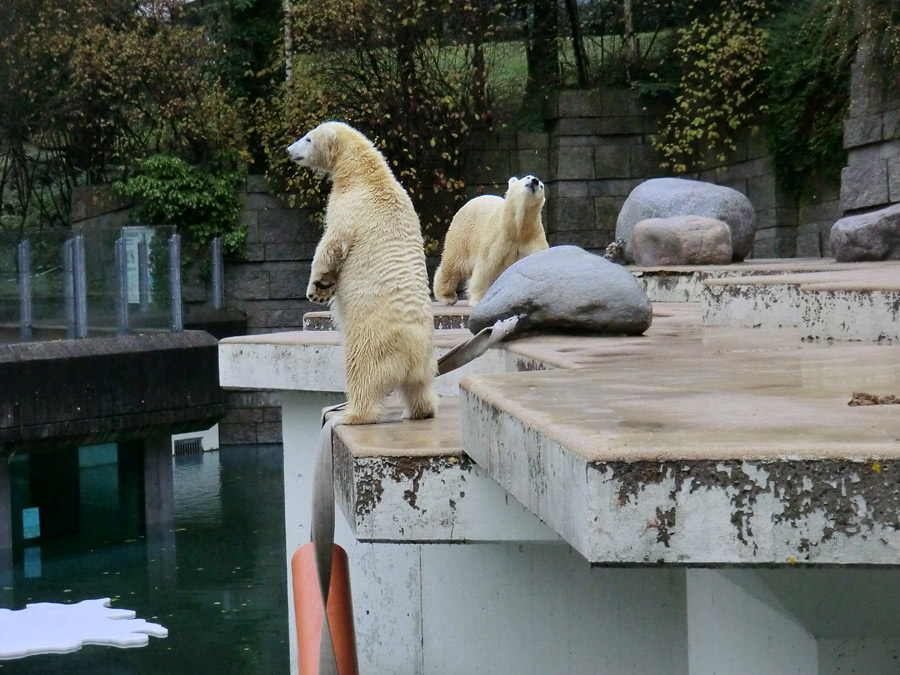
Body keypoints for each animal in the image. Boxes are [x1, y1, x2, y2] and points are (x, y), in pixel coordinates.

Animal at [288, 121, 436, 426]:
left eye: (307, 138)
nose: (288, 150)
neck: (364, 174)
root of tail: (411, 351)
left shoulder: (351, 207)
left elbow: (331, 244)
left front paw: (316, 286)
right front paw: (325, 289)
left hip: (371, 341)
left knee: (362, 373)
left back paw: (350, 415)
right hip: (427, 357)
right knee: (420, 385)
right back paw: (419, 410)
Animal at [434, 177, 552, 308]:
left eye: (541, 186)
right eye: (527, 177)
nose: (535, 181)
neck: (517, 229)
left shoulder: (533, 239)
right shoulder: (498, 237)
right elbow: (485, 267)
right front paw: (478, 300)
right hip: (464, 233)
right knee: (454, 263)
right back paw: (447, 296)